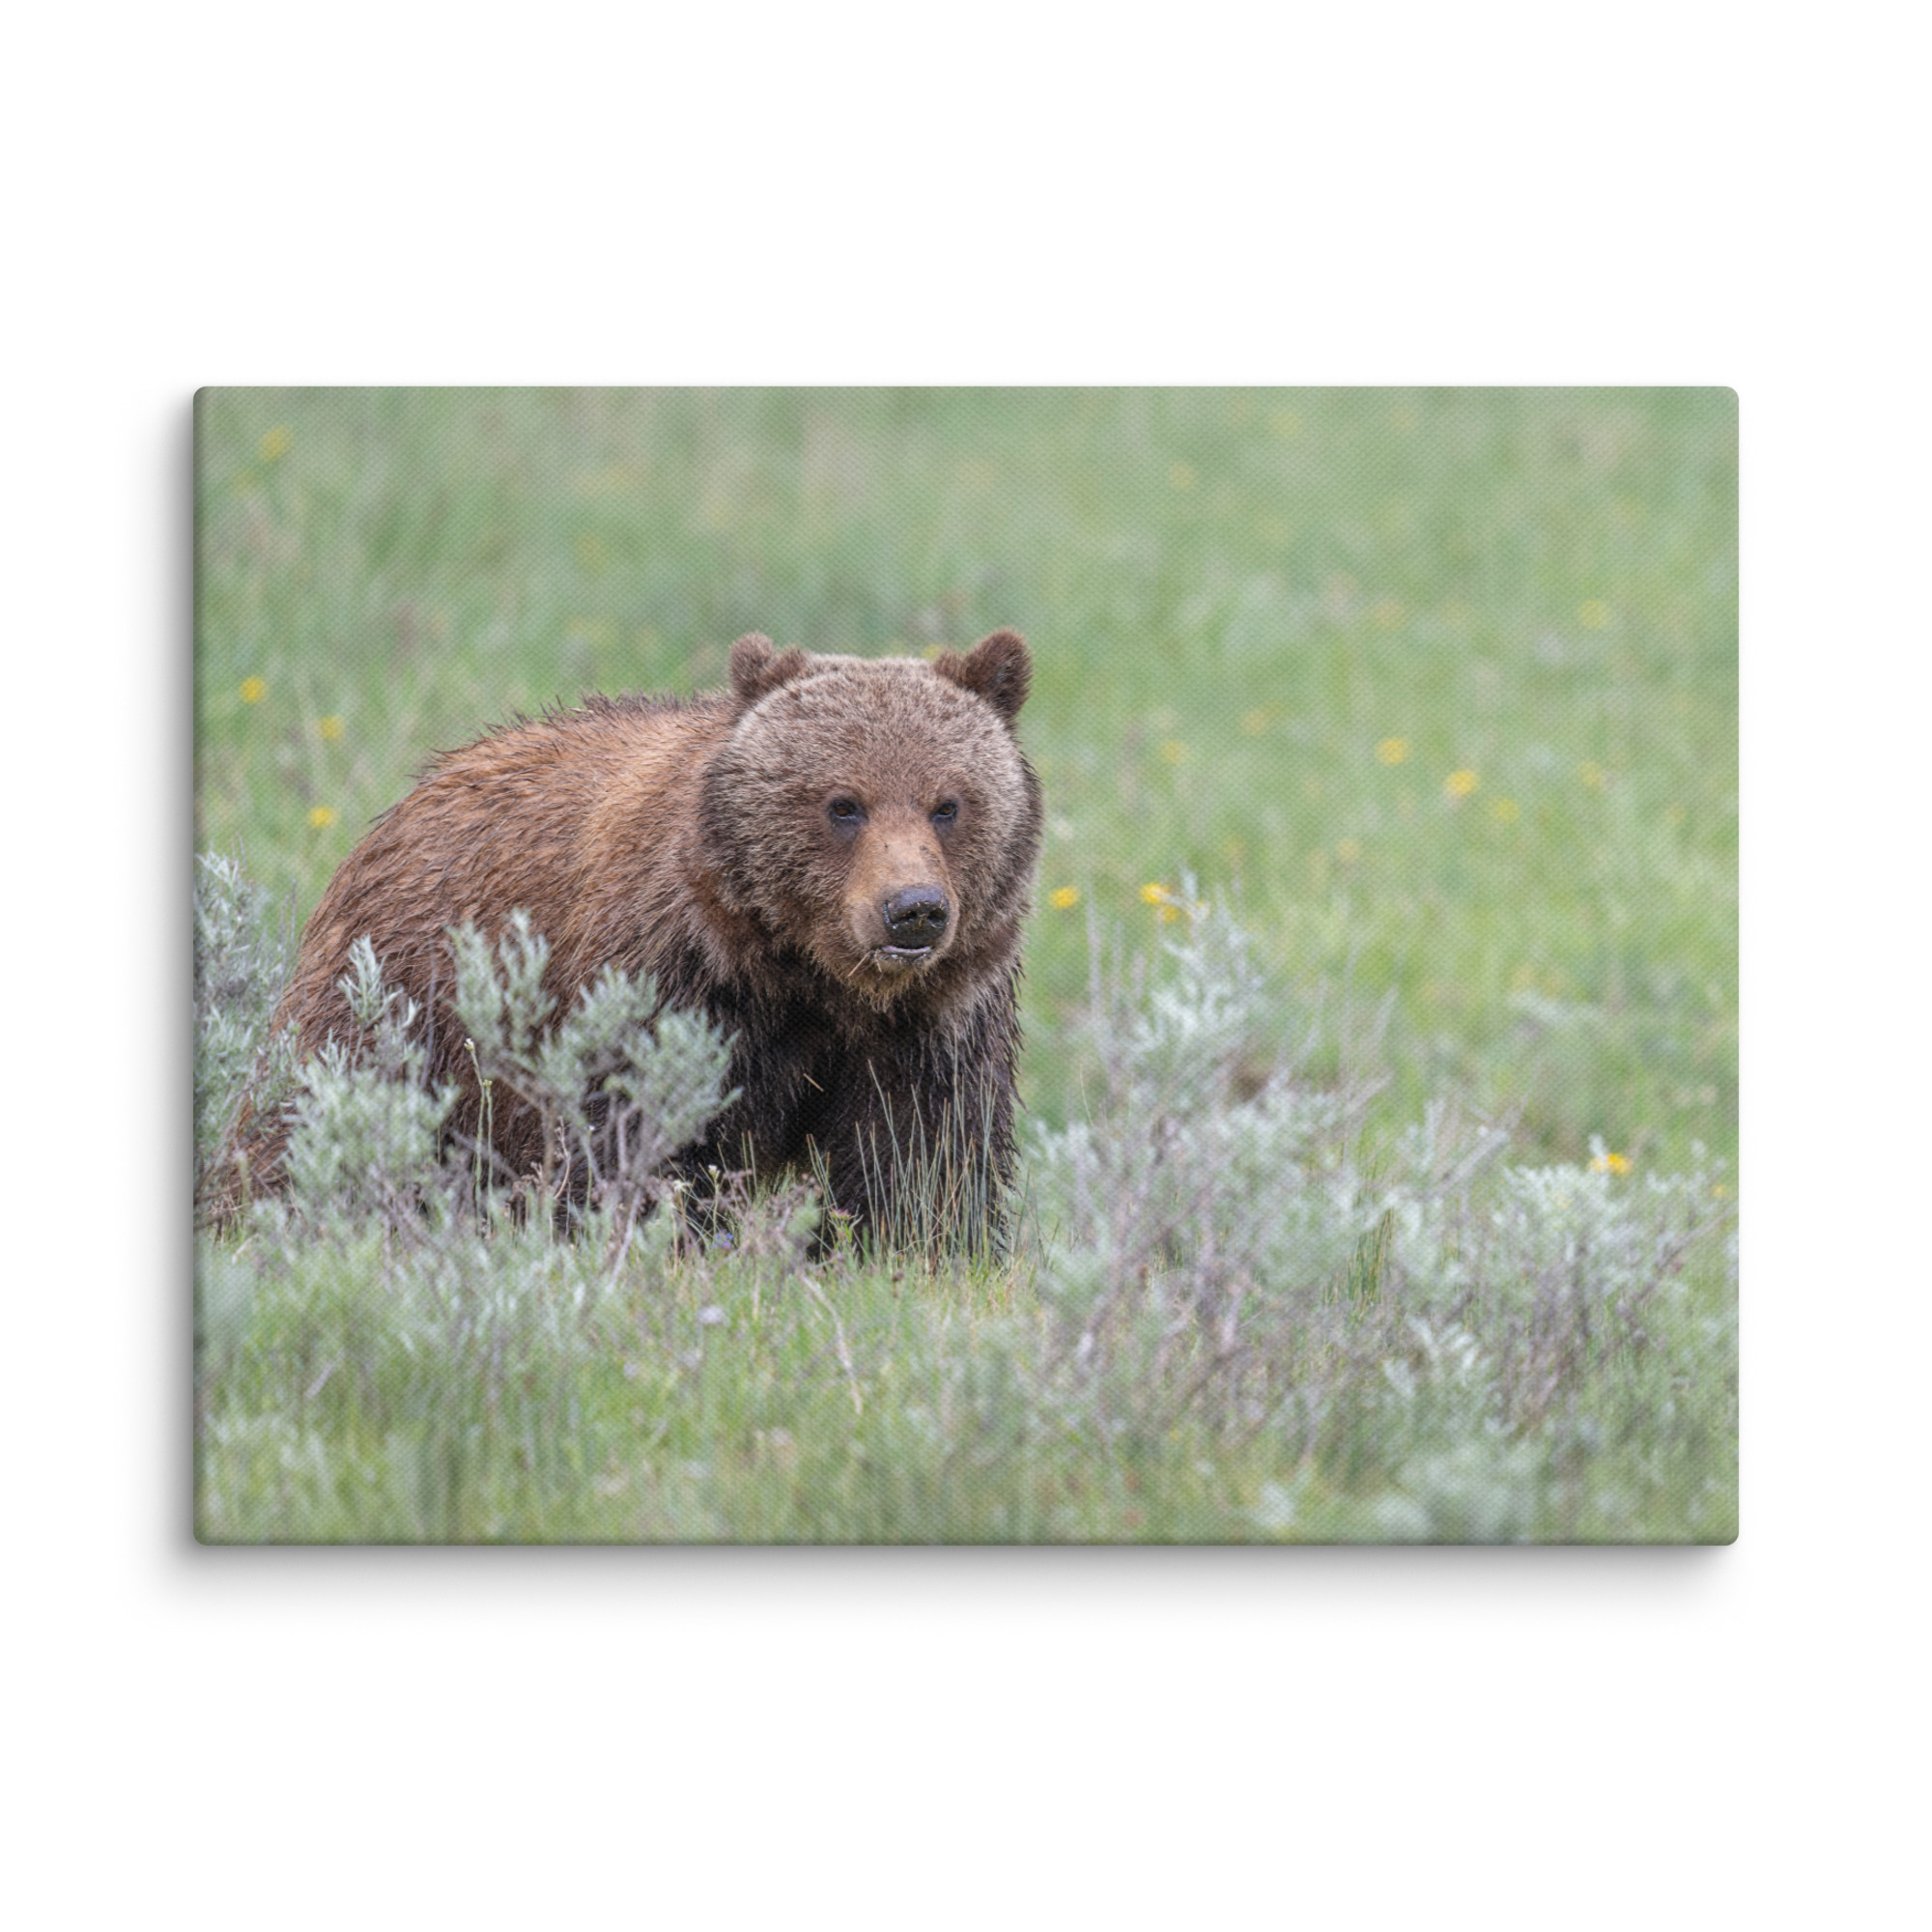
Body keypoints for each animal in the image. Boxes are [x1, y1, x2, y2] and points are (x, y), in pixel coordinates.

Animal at [226, 629, 1042, 1244]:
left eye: (948, 804)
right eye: (843, 804)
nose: (913, 909)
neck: (808, 976)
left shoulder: (932, 1020)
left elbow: (922, 1160)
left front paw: (912, 1248)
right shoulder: (670, 984)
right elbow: (632, 1140)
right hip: (401, 996)